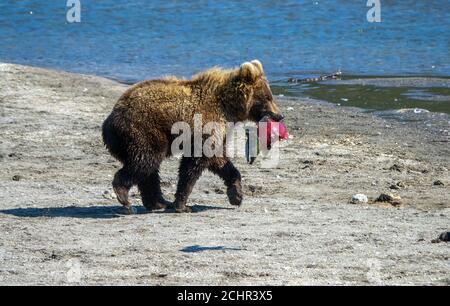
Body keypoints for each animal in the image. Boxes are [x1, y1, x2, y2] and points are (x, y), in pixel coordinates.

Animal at [103, 59, 284, 213]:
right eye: (267, 97)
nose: (280, 115)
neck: (228, 107)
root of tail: (109, 121)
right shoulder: (206, 124)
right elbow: (193, 164)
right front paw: (182, 205)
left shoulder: (218, 131)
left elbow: (221, 161)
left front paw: (237, 196)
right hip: (143, 131)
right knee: (145, 162)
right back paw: (125, 198)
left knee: (149, 171)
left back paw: (158, 203)